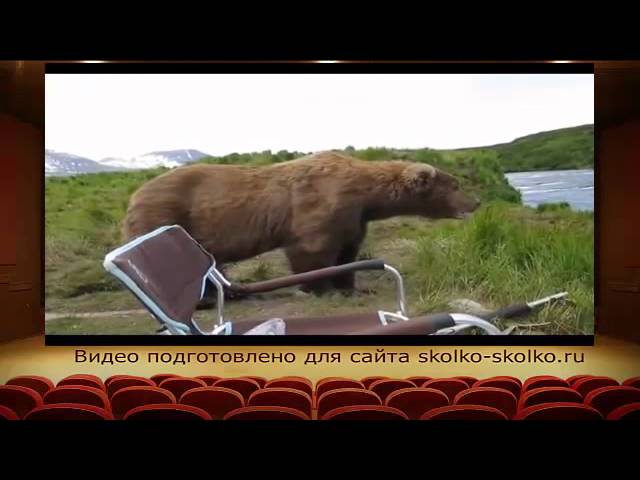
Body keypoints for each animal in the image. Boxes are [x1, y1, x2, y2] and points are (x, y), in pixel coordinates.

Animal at [122, 151, 480, 297]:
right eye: (455, 185)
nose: (476, 202)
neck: (365, 196)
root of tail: (133, 195)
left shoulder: (353, 218)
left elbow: (348, 253)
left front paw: (351, 286)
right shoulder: (319, 206)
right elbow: (313, 250)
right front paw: (319, 288)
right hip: (166, 216)